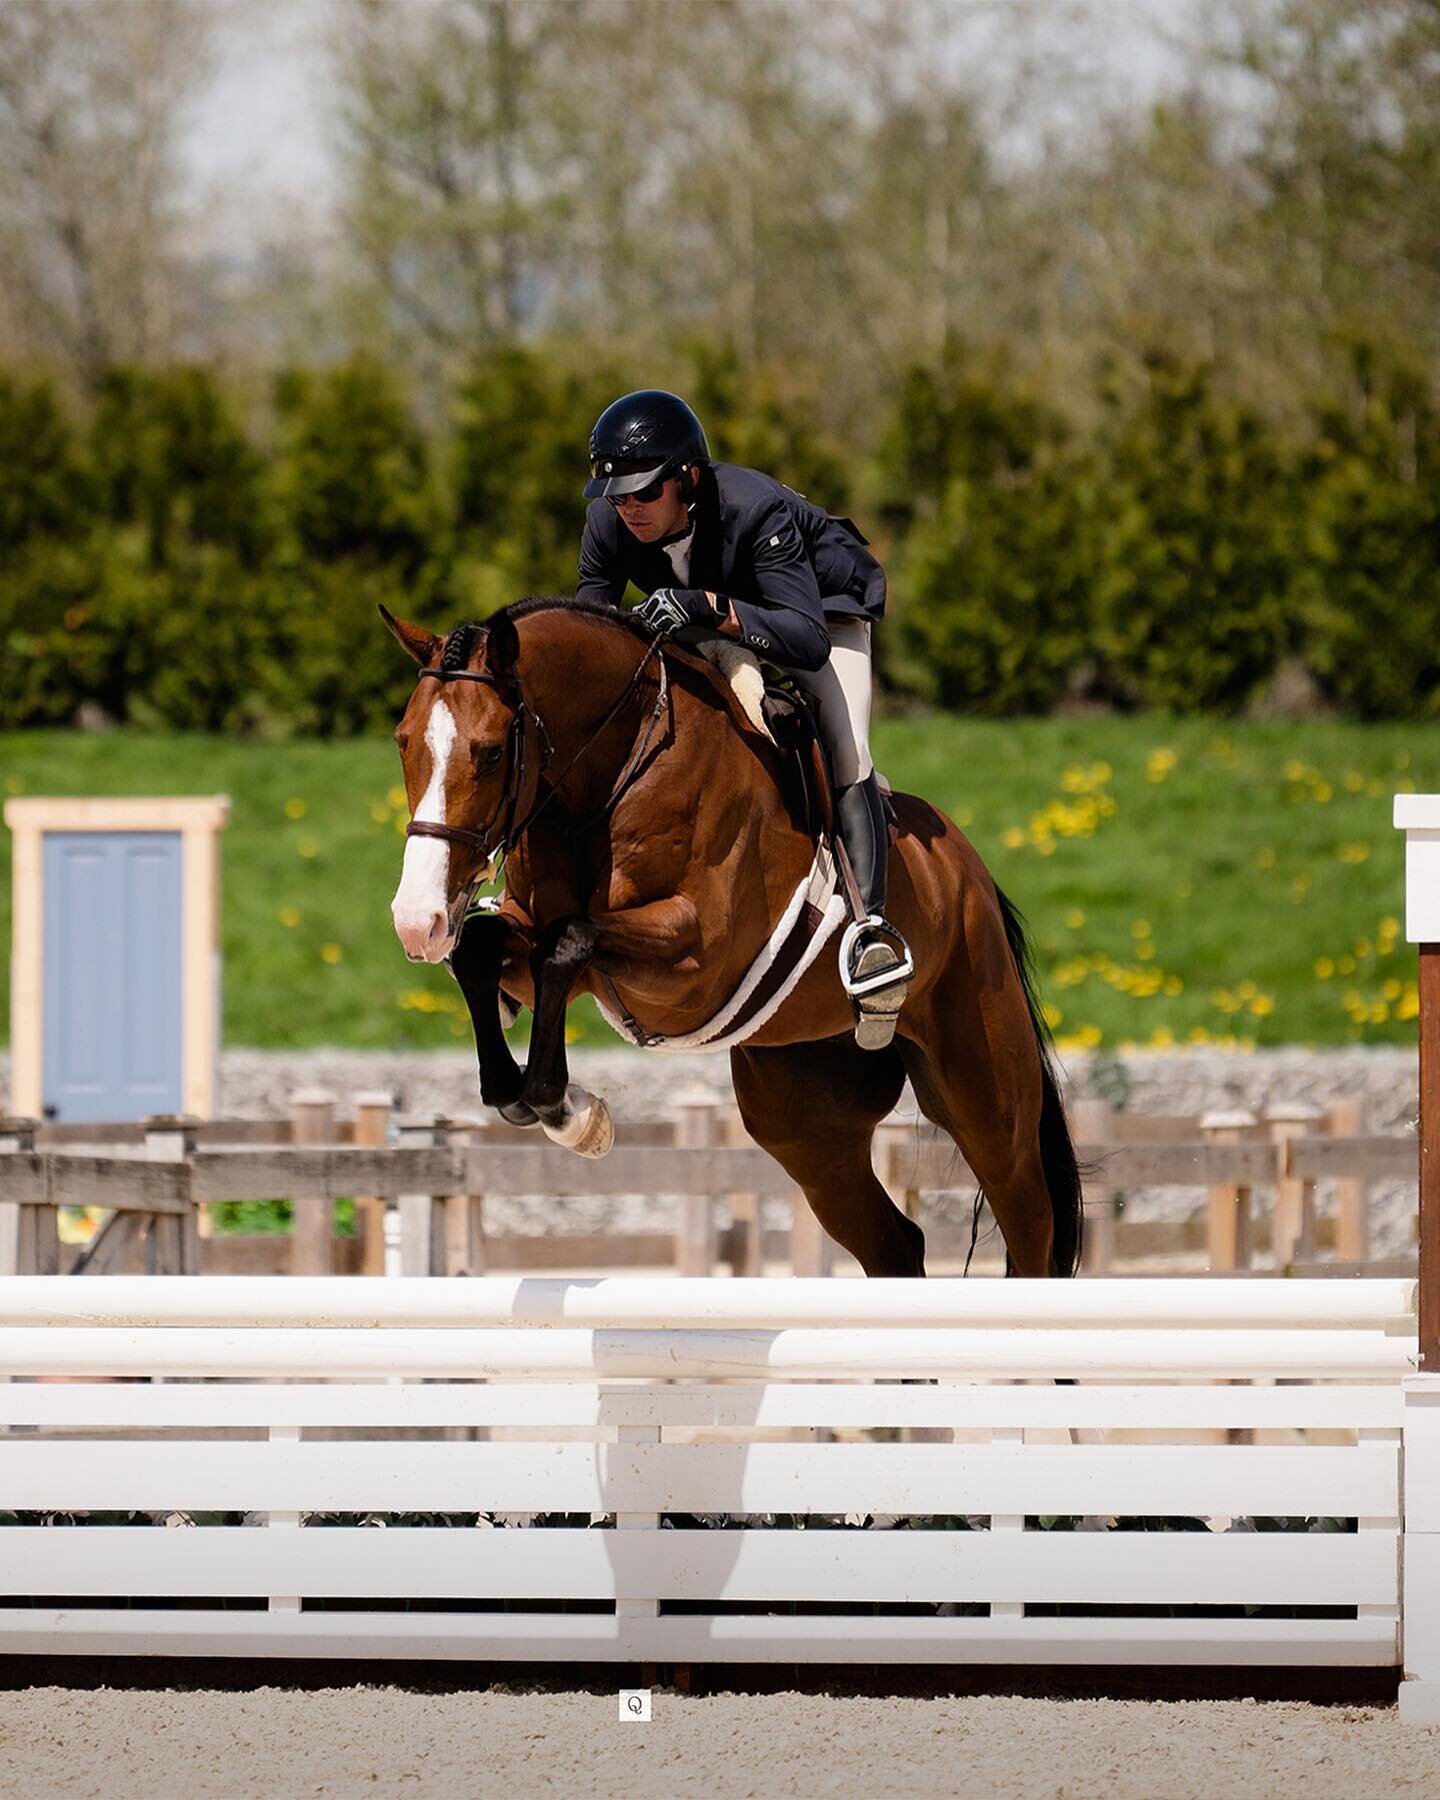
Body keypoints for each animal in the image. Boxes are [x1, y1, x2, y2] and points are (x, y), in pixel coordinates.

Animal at [381, 597, 1080, 1274]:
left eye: (493, 751)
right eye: (403, 741)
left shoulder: (694, 957)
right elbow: (484, 951)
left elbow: (569, 943)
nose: (417, 922)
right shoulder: (544, 942)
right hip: (808, 1125)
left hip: (984, 1095)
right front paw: (519, 1094)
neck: (612, 771)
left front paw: (566, 1110)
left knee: (1030, 1228)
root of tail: (969, 873)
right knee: (894, 1244)